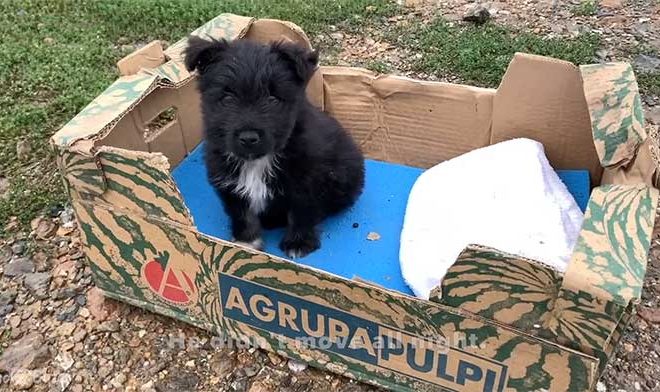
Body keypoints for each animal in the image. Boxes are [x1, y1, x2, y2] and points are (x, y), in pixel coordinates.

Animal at [183, 36, 364, 258]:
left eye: (272, 98)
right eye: (227, 98)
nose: (248, 138)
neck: (258, 161)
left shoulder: (306, 183)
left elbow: (301, 213)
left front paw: (298, 242)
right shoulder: (230, 185)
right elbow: (242, 213)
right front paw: (247, 242)